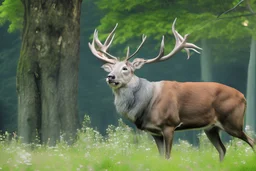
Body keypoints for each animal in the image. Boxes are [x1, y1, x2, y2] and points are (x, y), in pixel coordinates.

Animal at [87, 19, 254, 162]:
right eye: (111, 68)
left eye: (125, 68)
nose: (110, 76)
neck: (147, 104)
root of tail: (243, 97)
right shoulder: (154, 131)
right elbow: (161, 157)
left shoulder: (169, 124)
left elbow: (168, 156)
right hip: (211, 128)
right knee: (222, 149)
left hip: (233, 121)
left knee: (251, 140)